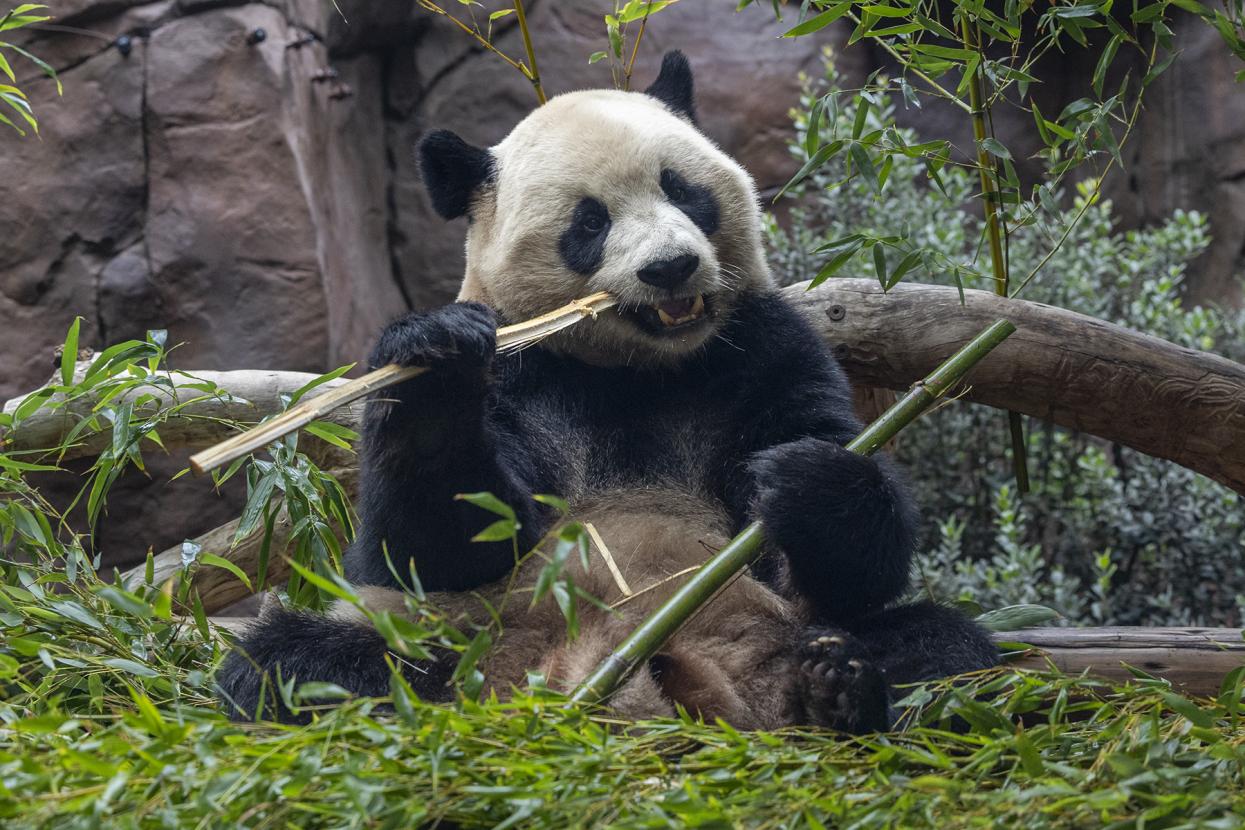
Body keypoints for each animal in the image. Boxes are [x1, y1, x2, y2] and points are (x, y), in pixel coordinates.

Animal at [216, 52, 997, 732]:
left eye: (683, 190)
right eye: (589, 222)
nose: (671, 267)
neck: (635, 368)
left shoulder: (764, 347)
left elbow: (847, 554)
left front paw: (802, 478)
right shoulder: (525, 371)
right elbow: (435, 548)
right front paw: (435, 359)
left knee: (942, 647)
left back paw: (831, 689)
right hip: (457, 642)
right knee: (294, 667)